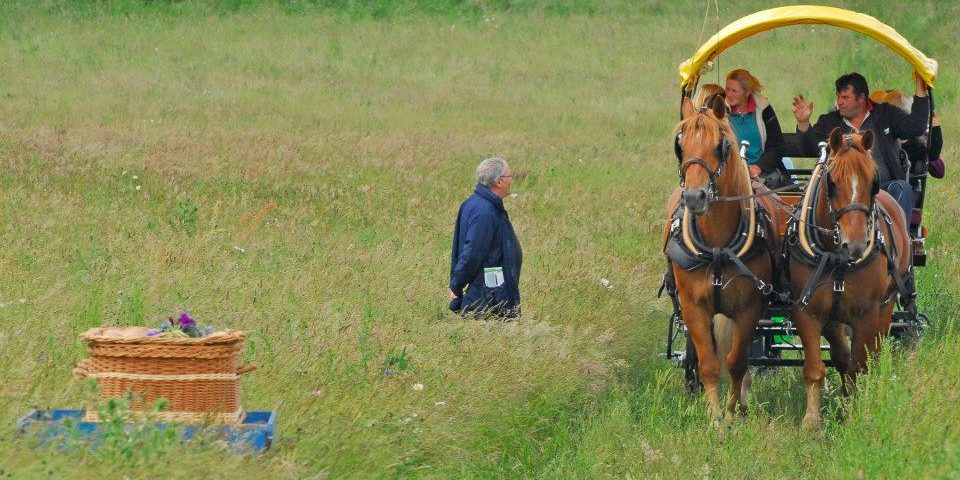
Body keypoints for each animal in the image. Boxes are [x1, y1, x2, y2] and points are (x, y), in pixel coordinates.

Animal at [664, 96, 784, 420]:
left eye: (720, 145)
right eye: (680, 145)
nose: (695, 197)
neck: (718, 246)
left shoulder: (749, 309)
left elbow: (737, 362)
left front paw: (732, 413)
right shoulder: (694, 308)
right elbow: (708, 363)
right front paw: (714, 418)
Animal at [788, 125, 916, 430]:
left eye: (873, 182)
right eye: (832, 183)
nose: (856, 245)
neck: (837, 259)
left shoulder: (866, 313)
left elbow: (860, 363)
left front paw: (852, 412)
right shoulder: (806, 311)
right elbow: (816, 367)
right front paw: (812, 422)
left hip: (887, 304)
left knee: (873, 354)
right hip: (834, 318)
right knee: (841, 356)